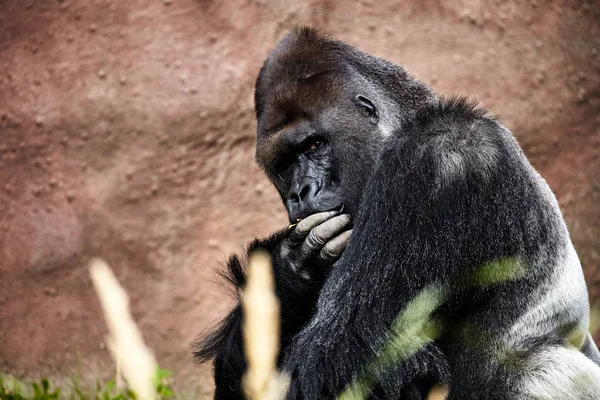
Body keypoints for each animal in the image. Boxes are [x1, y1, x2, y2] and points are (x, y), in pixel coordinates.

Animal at [196, 28, 600, 400]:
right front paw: (292, 269)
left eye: (313, 145)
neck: (412, 119)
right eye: (283, 164)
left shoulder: (433, 164)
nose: (300, 193)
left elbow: (332, 359)